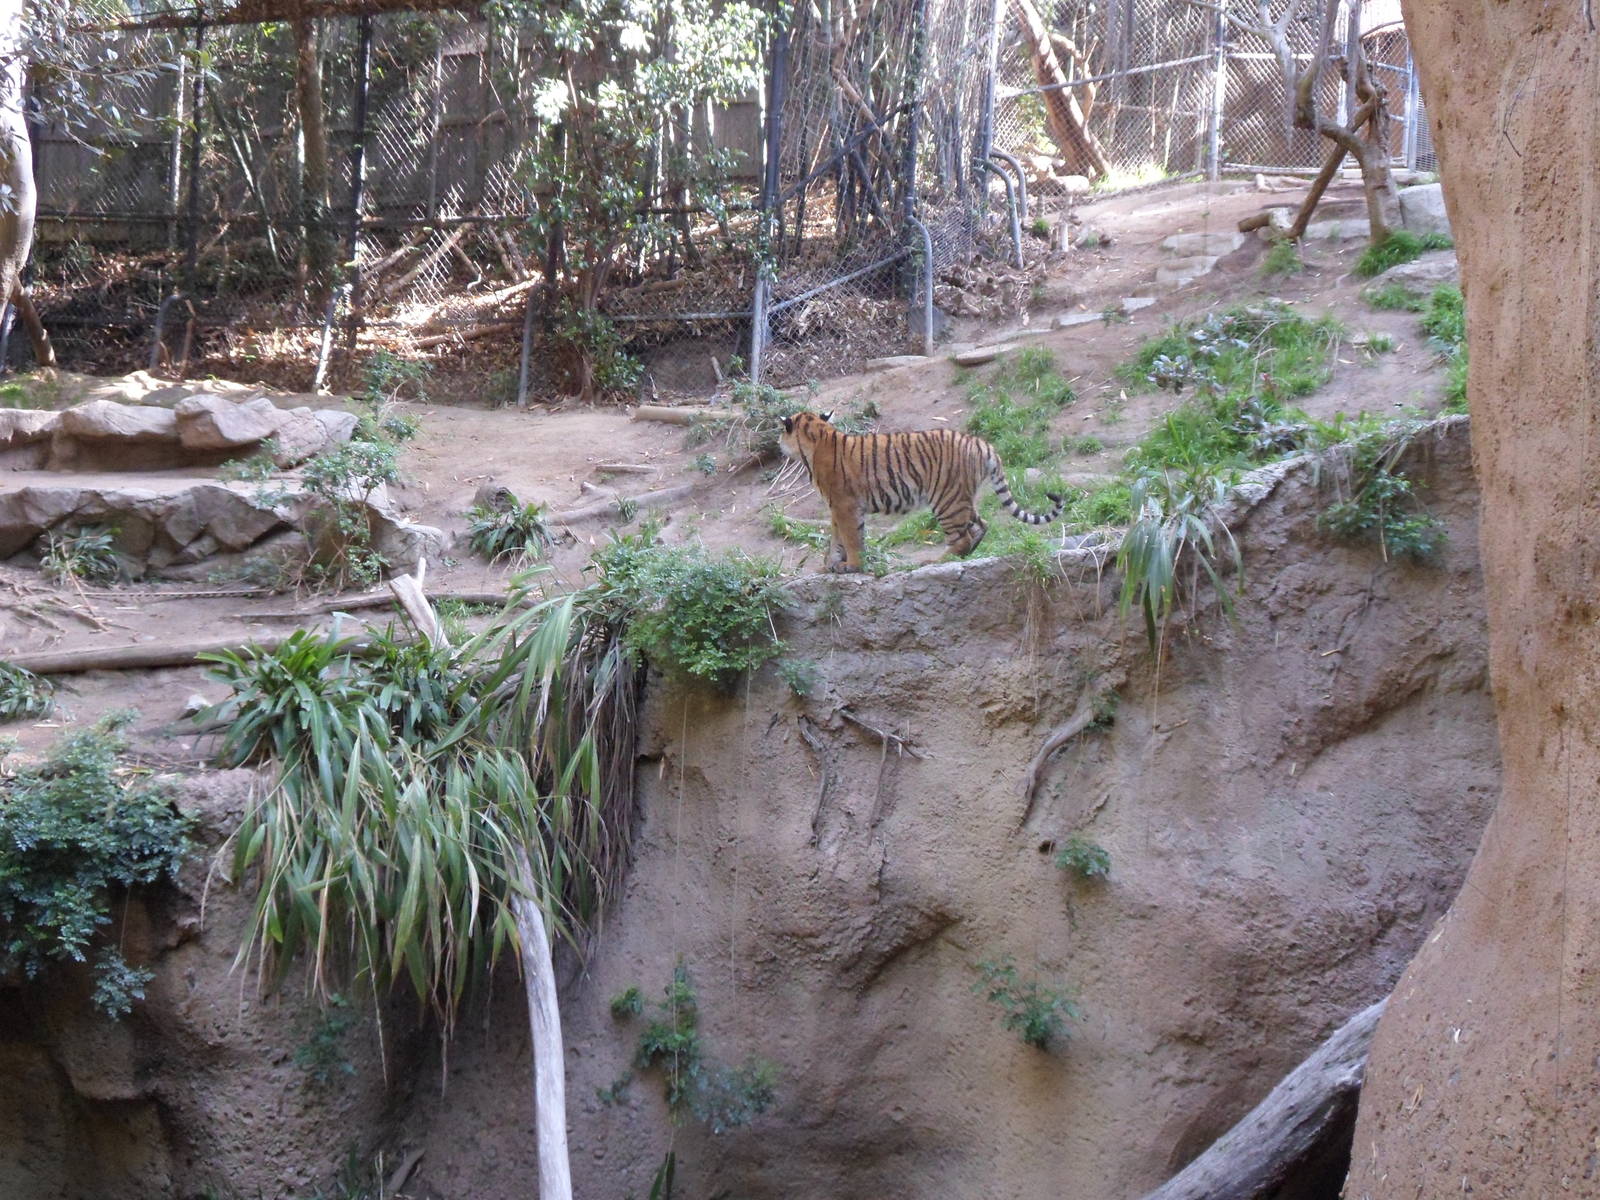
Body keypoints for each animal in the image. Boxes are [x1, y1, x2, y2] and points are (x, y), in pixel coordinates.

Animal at [777, 410, 1065, 573]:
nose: (778, 443)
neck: (816, 437)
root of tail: (981, 443)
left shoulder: (843, 504)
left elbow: (850, 537)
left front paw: (852, 566)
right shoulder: (837, 507)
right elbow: (837, 536)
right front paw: (832, 563)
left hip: (946, 499)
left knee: (961, 537)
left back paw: (936, 562)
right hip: (963, 498)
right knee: (981, 525)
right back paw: (968, 554)